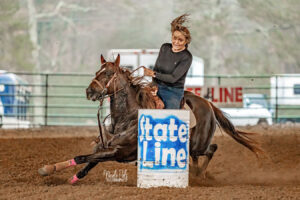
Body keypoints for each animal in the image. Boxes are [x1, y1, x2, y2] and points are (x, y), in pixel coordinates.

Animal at [38, 54, 262, 184]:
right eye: (97, 71)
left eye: (108, 73)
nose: (90, 91)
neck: (126, 118)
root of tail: (207, 104)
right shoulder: (105, 147)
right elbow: (88, 162)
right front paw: (67, 176)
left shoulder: (118, 152)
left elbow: (82, 157)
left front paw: (47, 169)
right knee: (198, 155)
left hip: (199, 143)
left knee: (212, 149)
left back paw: (199, 176)